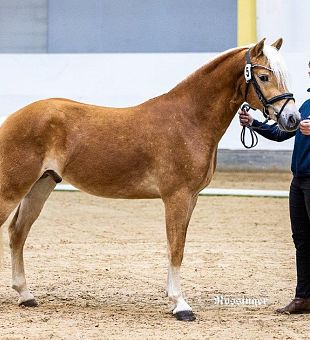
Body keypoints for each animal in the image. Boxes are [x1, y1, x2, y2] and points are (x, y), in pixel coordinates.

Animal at [0, 38, 300, 320]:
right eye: (264, 77)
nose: (293, 119)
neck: (189, 119)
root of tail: (12, 119)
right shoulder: (177, 197)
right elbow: (176, 248)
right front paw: (181, 306)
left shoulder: (190, 199)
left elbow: (176, 246)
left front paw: (173, 301)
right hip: (12, 189)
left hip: (41, 185)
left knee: (18, 233)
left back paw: (25, 295)